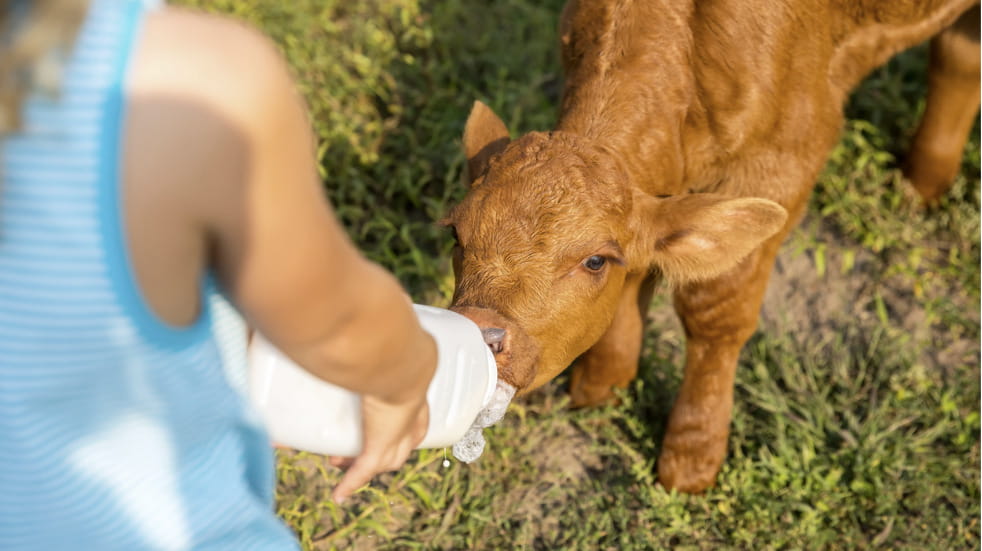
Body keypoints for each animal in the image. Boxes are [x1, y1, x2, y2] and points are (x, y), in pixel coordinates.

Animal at [444, 0, 976, 494]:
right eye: (456, 235)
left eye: (594, 261)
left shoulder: (784, 158)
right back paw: (920, 188)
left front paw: (692, 456)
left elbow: (715, 308)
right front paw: (604, 383)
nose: (478, 331)